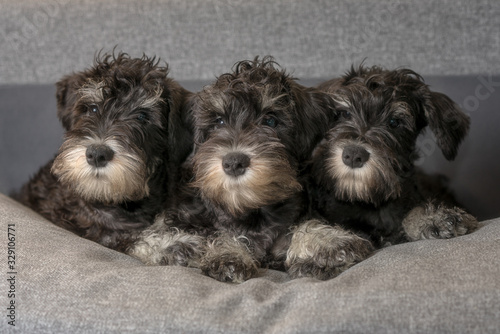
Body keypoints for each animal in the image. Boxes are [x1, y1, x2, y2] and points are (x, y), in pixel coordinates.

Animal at [127, 56, 334, 282]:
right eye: (219, 121)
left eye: (270, 120)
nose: (234, 162)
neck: (250, 210)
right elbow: (217, 234)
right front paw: (229, 254)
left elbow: (304, 225)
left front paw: (320, 248)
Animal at [286, 64, 476, 280]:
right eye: (345, 113)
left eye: (394, 122)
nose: (353, 155)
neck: (364, 199)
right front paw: (323, 250)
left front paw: (434, 218)